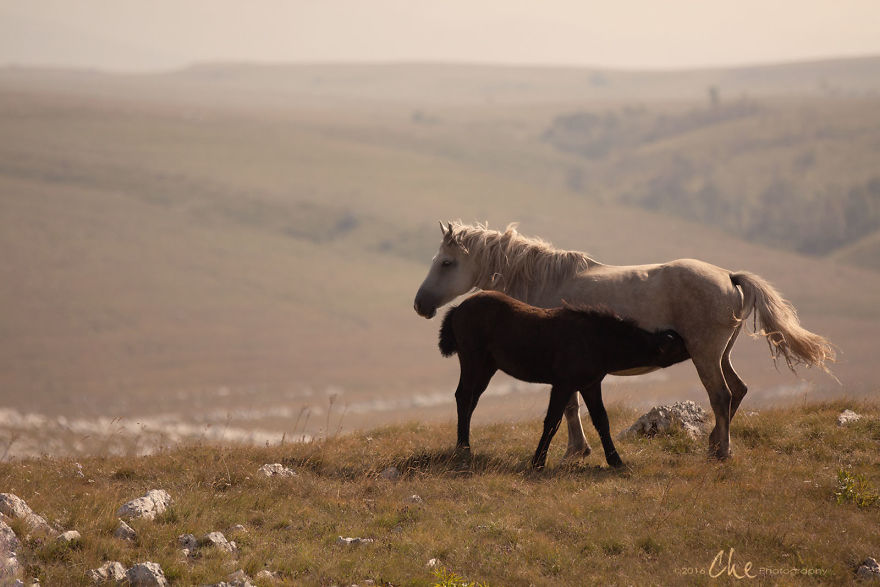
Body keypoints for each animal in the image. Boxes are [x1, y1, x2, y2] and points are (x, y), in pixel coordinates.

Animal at [439, 291, 690, 469]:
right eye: (678, 345)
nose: (693, 347)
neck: (599, 340)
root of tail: (458, 309)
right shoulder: (563, 384)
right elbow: (552, 421)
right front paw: (538, 462)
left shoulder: (590, 385)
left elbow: (601, 420)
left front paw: (615, 460)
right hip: (472, 360)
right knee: (464, 396)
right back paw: (463, 448)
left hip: (487, 367)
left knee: (471, 399)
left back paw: (463, 445)